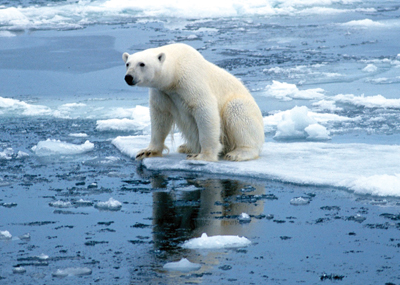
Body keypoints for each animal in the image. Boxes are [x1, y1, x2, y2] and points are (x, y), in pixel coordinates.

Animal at [123, 43, 264, 161]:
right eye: (128, 64)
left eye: (142, 64)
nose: (128, 77)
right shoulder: (162, 92)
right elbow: (160, 116)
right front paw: (147, 152)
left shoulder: (191, 81)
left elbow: (205, 110)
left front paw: (202, 156)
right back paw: (185, 147)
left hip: (244, 109)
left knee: (237, 112)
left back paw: (237, 153)